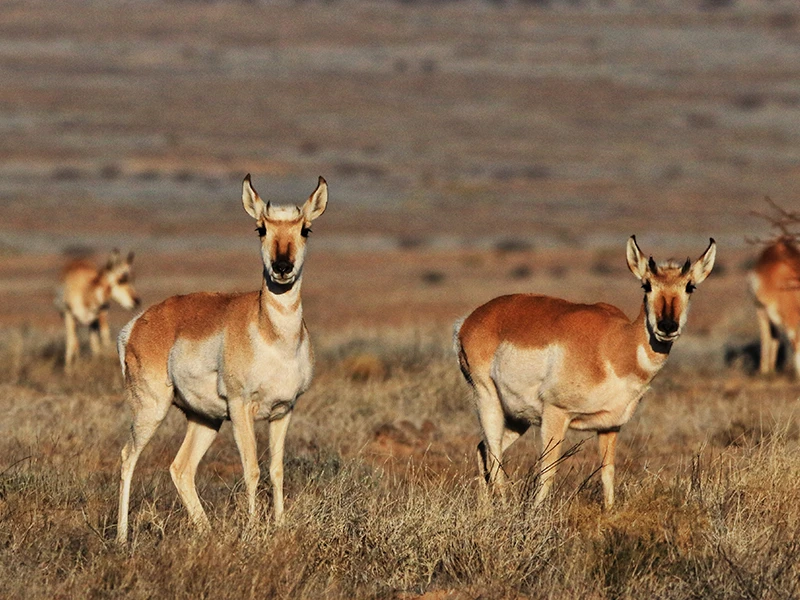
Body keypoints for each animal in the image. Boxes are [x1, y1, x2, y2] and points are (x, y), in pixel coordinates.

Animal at [114, 173, 326, 544]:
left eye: (305, 229)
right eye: (260, 228)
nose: (282, 267)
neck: (272, 335)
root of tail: (139, 322)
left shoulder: (283, 411)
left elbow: (276, 470)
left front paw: (279, 526)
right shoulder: (241, 408)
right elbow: (252, 469)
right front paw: (253, 531)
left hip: (205, 419)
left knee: (181, 468)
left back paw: (207, 531)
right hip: (151, 409)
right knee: (128, 458)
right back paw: (122, 538)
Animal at [456, 237, 720, 508]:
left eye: (690, 286)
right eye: (646, 285)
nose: (667, 326)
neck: (615, 344)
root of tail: (472, 319)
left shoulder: (610, 426)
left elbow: (608, 472)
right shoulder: (556, 414)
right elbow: (548, 470)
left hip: (518, 418)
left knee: (483, 449)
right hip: (488, 399)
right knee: (494, 453)